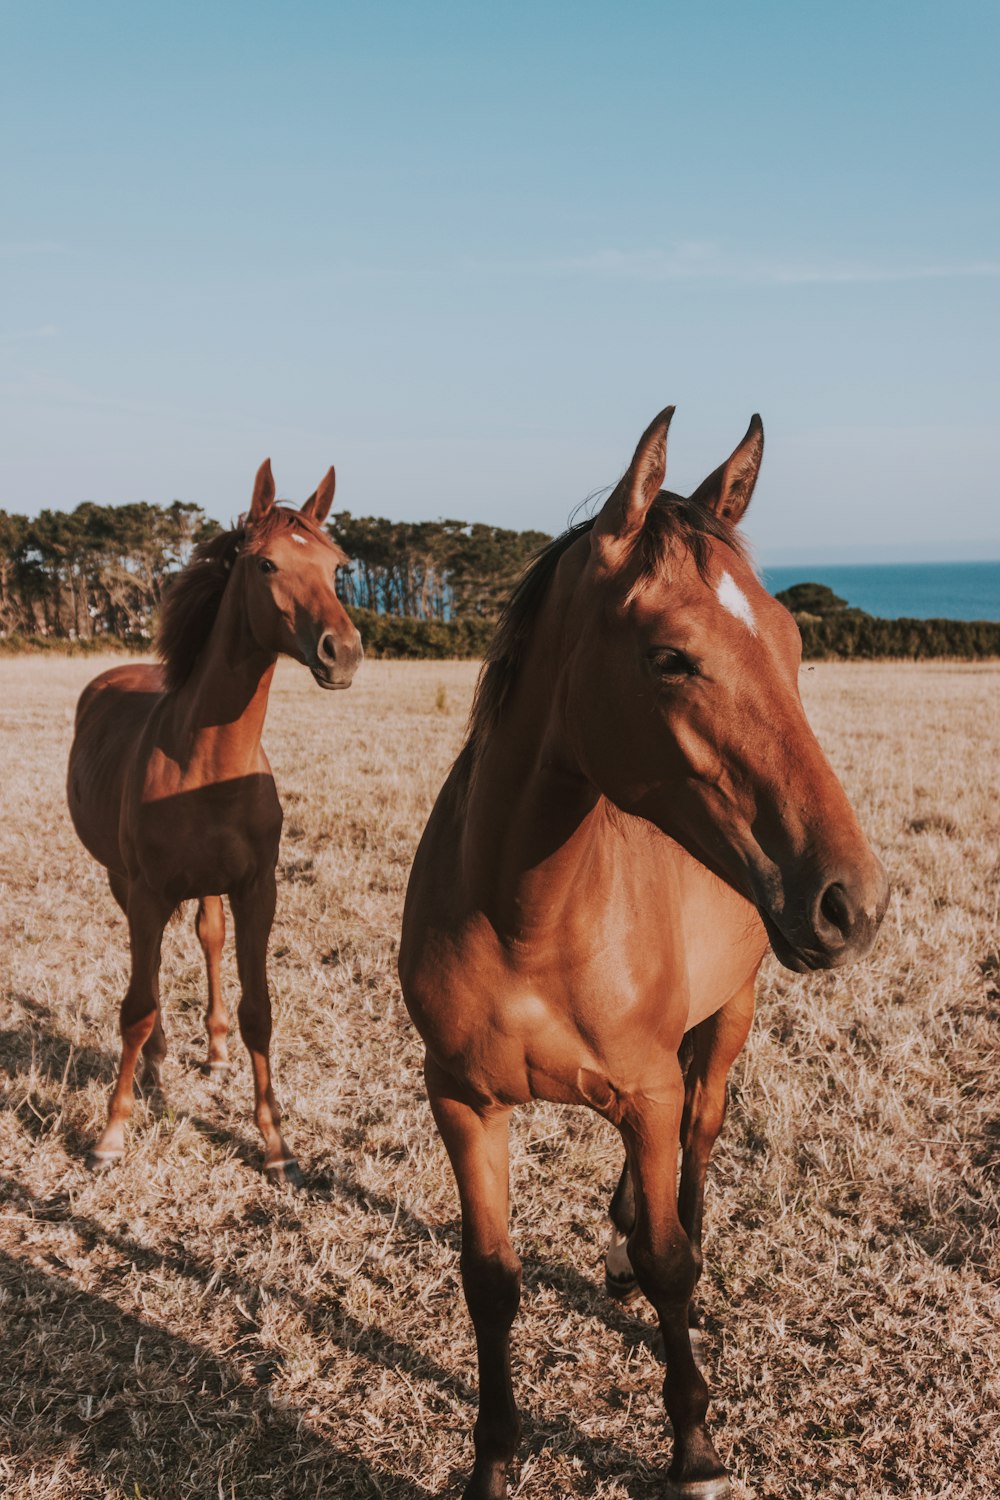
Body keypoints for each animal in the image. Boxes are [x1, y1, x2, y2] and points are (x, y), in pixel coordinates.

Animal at [67, 456, 364, 1182]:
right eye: (266, 564)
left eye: (338, 566)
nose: (341, 651)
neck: (203, 759)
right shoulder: (148, 890)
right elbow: (136, 1007)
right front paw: (111, 1134)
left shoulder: (259, 889)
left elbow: (260, 1009)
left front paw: (277, 1145)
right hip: (124, 881)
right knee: (150, 975)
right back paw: (156, 1064)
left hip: (205, 886)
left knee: (207, 937)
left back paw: (215, 1048)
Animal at [398, 405, 893, 1494]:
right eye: (671, 657)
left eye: (793, 641)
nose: (854, 902)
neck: (526, 918)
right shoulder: (461, 1100)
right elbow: (489, 1277)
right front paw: (493, 1456)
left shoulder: (652, 1089)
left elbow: (672, 1256)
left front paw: (695, 1448)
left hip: (725, 1022)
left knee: (699, 1147)